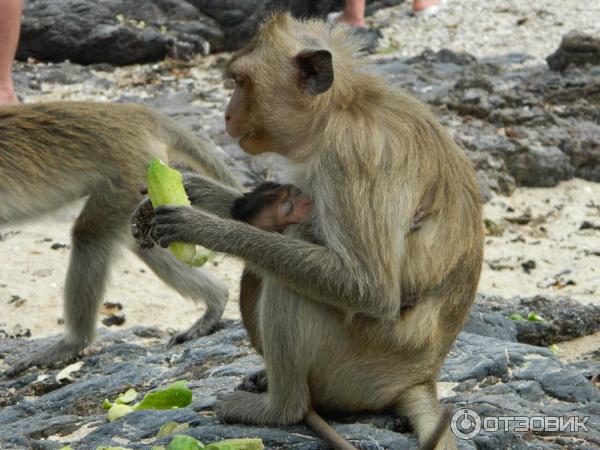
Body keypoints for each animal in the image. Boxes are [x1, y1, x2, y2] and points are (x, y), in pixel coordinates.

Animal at [2, 102, 241, 376]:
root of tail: (137, 112)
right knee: (142, 245)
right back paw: (217, 300)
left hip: (130, 175)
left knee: (90, 234)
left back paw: (73, 343)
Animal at [137, 13, 482, 450]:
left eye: (241, 82)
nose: (227, 116)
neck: (341, 109)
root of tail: (419, 379)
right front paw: (190, 189)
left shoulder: (352, 156)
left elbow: (368, 288)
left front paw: (205, 228)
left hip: (360, 367)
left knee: (290, 280)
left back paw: (280, 410)